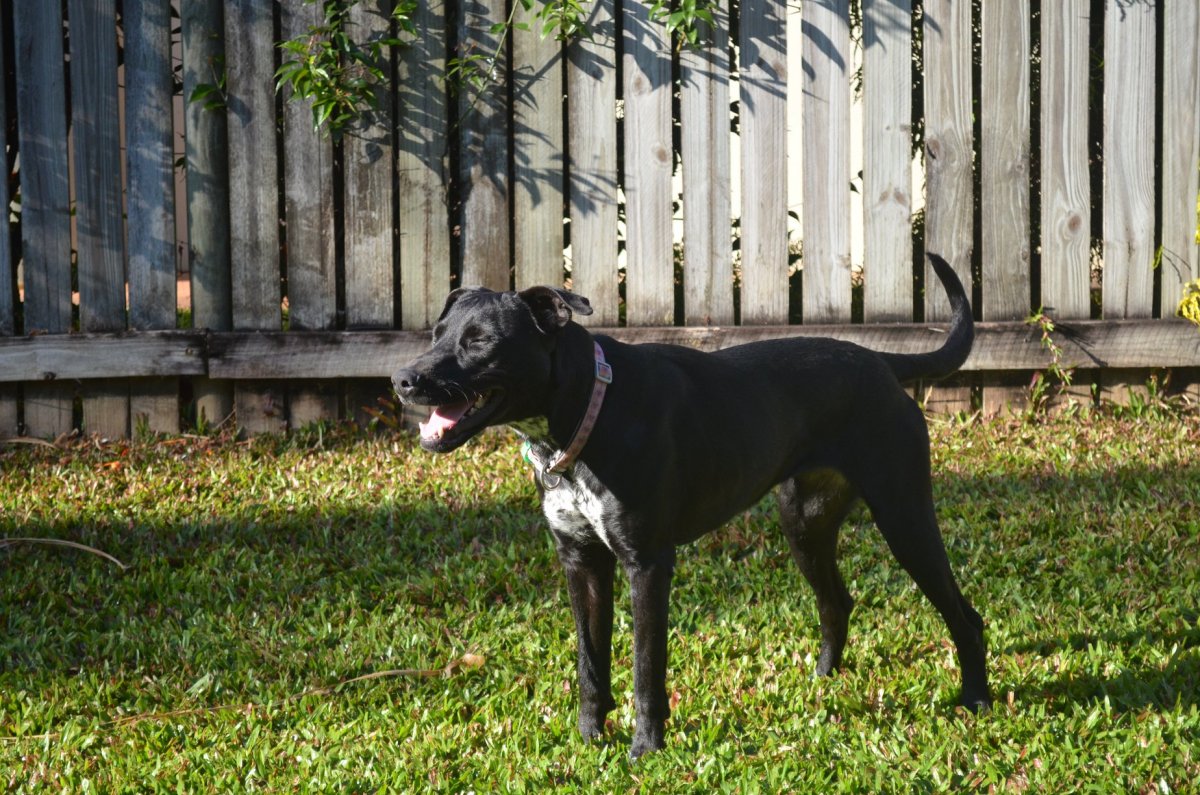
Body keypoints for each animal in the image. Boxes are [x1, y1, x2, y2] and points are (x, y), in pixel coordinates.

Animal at [393, 254, 991, 758]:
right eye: (437, 334)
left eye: (480, 341)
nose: (402, 379)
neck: (587, 409)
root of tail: (879, 362)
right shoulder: (581, 561)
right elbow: (590, 664)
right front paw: (589, 740)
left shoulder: (647, 564)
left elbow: (645, 668)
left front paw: (645, 751)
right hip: (804, 524)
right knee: (836, 603)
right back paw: (823, 683)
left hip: (904, 517)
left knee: (965, 616)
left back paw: (977, 700)